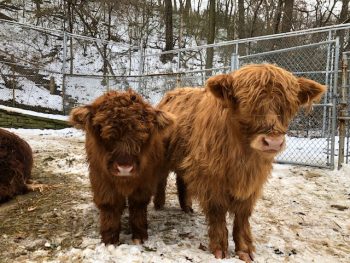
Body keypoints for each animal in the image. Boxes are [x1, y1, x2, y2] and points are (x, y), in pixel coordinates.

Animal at [70, 89, 174, 245]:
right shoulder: (101, 178)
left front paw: (139, 236)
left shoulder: (145, 180)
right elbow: (110, 205)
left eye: (143, 134)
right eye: (103, 130)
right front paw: (110, 239)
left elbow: (138, 206)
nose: (125, 167)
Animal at [156, 64, 326, 262]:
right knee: (162, 179)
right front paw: (219, 249)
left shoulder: (252, 184)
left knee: (182, 180)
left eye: (287, 106)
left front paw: (244, 250)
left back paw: (187, 207)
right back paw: (159, 204)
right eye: (246, 104)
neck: (243, 159)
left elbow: (242, 217)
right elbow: (217, 213)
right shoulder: (211, 179)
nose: (273, 142)